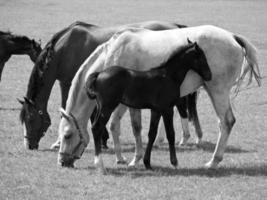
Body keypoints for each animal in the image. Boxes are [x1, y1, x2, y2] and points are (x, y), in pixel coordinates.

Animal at [18, 20, 202, 150]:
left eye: (30, 118)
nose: (29, 145)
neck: (65, 48)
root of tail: (176, 26)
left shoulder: (69, 83)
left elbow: (66, 109)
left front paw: (60, 141)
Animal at [57, 24, 262, 172]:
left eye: (67, 135)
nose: (62, 161)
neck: (113, 53)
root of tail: (232, 36)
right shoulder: (132, 104)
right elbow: (132, 128)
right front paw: (129, 158)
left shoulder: (125, 104)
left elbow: (128, 127)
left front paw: (132, 159)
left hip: (218, 91)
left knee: (226, 121)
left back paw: (213, 161)